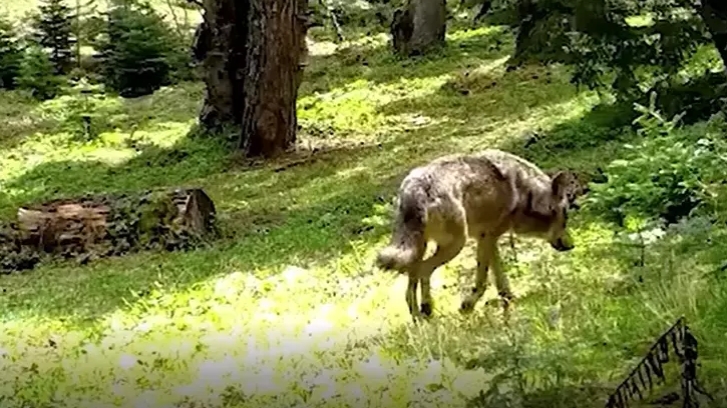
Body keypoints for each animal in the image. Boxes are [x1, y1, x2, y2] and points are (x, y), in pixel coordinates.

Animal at [376, 149, 582, 320]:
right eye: (566, 217)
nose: (572, 245)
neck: (526, 193)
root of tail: (418, 186)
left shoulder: (488, 238)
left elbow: (498, 277)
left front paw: (508, 297)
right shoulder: (487, 237)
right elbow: (482, 280)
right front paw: (468, 305)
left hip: (418, 248)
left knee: (411, 279)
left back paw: (418, 317)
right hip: (455, 245)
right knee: (423, 270)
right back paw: (427, 308)